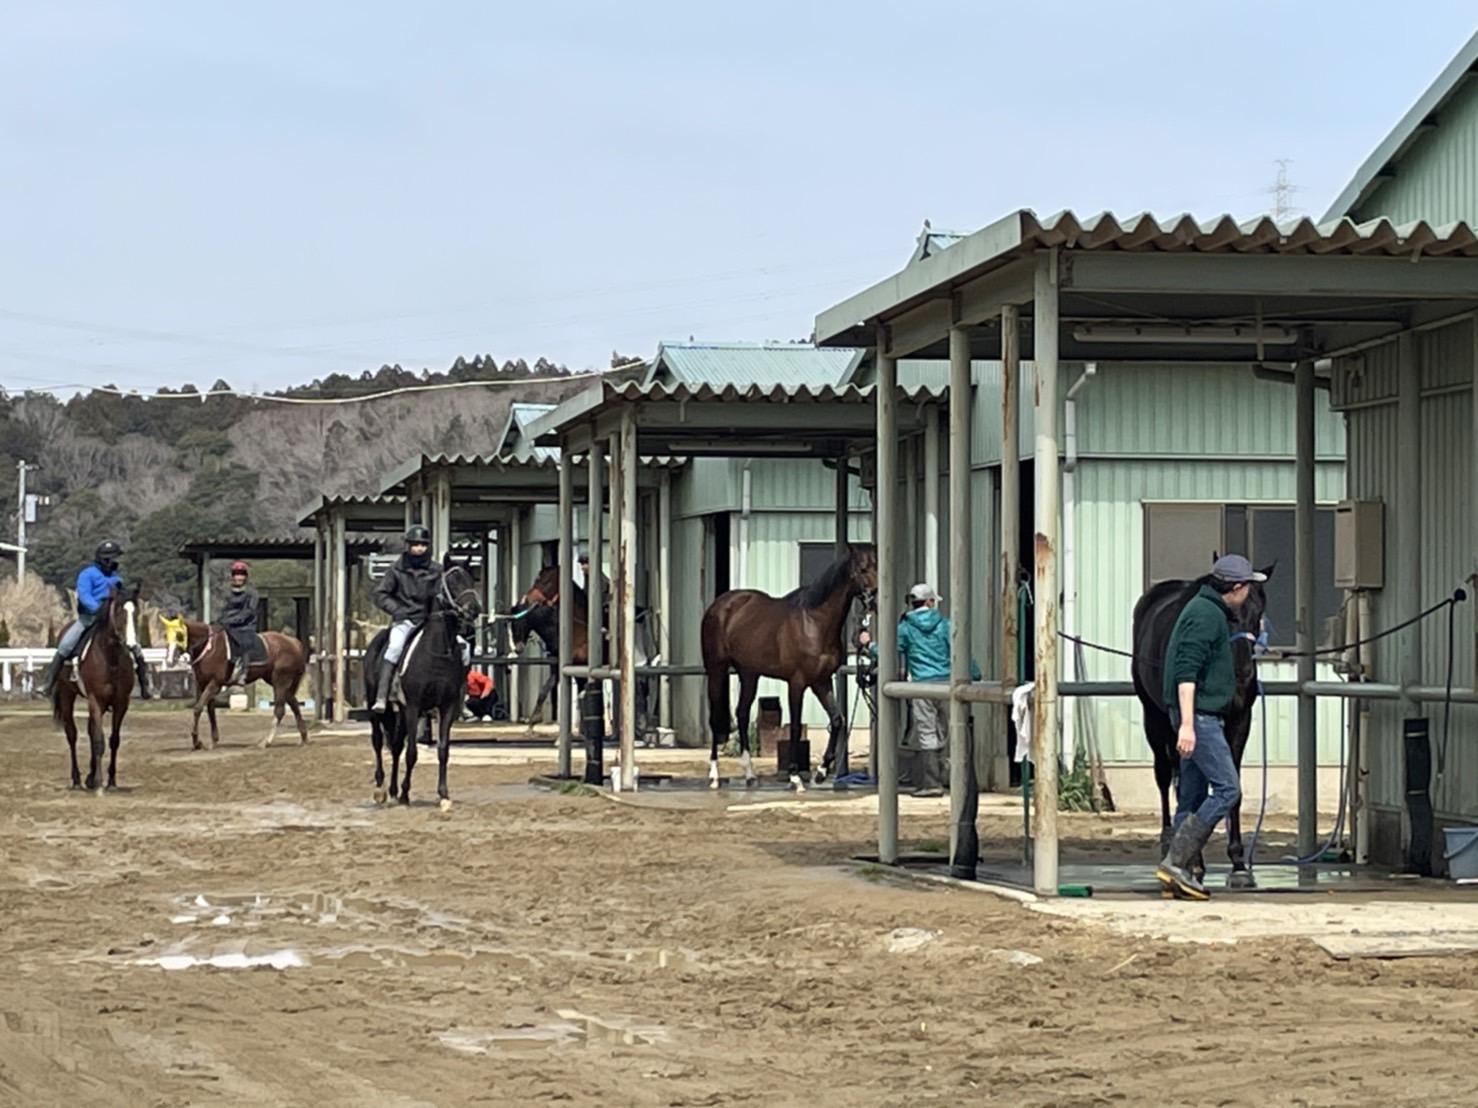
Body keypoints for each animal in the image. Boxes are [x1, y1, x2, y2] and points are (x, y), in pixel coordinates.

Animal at [52, 585, 140, 791]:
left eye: (136, 612)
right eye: (119, 611)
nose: (131, 643)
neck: (110, 658)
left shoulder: (121, 703)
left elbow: (113, 740)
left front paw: (111, 781)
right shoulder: (95, 700)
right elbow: (99, 740)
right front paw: (99, 781)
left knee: (91, 732)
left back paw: (89, 777)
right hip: (67, 695)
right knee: (72, 734)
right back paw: (77, 779)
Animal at [160, 617, 310, 756]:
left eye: (180, 635)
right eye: (166, 635)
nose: (170, 660)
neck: (209, 648)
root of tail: (294, 643)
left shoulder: (215, 684)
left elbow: (198, 708)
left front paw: (197, 742)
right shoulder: (202, 685)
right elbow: (210, 711)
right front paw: (212, 741)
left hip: (280, 681)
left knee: (280, 710)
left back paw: (266, 742)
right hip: (279, 683)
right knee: (294, 704)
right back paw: (303, 738)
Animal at [363, 558, 478, 809]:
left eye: (471, 580)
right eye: (452, 582)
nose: (474, 609)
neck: (437, 651)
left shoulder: (445, 707)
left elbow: (443, 750)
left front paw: (443, 795)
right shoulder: (414, 707)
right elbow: (413, 753)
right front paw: (406, 794)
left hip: (401, 710)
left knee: (396, 745)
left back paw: (393, 790)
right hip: (378, 709)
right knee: (378, 742)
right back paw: (381, 789)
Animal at [697, 543, 869, 791]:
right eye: (864, 568)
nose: (875, 596)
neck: (814, 622)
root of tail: (719, 605)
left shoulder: (821, 681)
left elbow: (837, 720)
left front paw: (821, 772)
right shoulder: (797, 683)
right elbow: (795, 727)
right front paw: (795, 776)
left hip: (749, 674)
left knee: (741, 713)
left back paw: (750, 775)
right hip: (716, 670)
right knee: (716, 716)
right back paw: (714, 775)